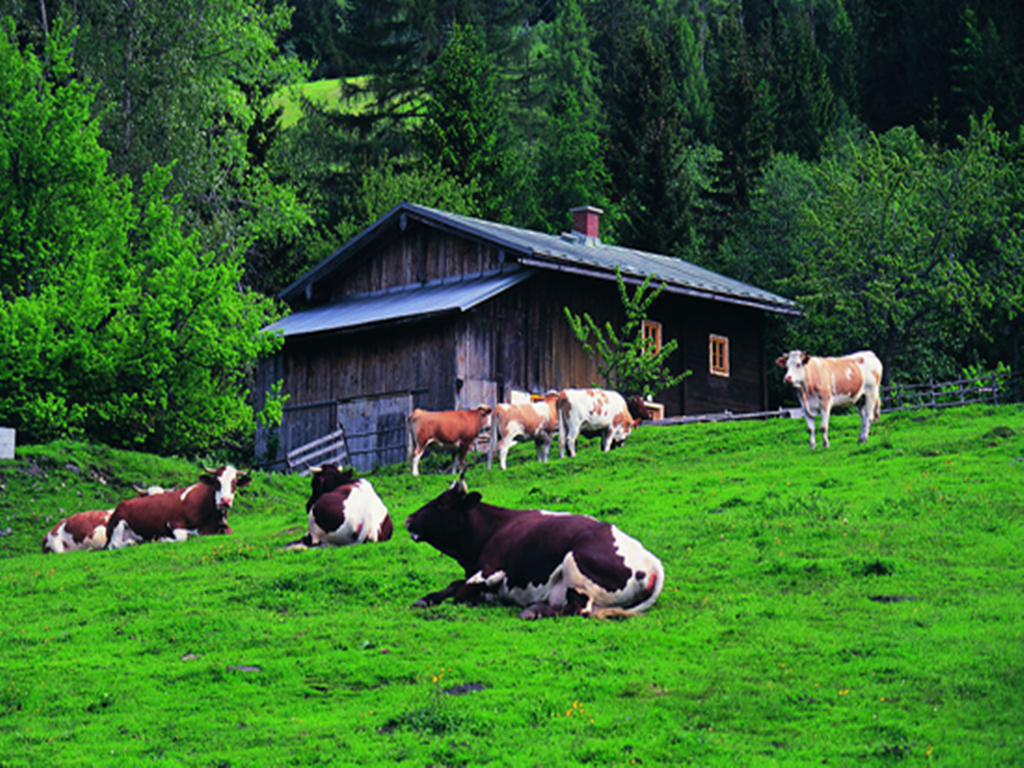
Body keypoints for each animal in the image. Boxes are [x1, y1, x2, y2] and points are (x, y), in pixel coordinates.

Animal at [106, 466, 251, 548]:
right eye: (217, 481)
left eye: (234, 482)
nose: (225, 501)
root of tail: (121, 504)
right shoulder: (173, 523)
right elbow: (182, 537)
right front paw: (163, 539)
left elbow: (229, 531)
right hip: (118, 525)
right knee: (114, 544)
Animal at [403, 479, 667, 622]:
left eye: (441, 504)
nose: (408, 519)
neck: (493, 528)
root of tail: (650, 559)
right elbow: (454, 586)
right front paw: (426, 599)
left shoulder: (489, 568)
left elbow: (461, 592)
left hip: (573, 561)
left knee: (577, 608)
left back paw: (533, 611)